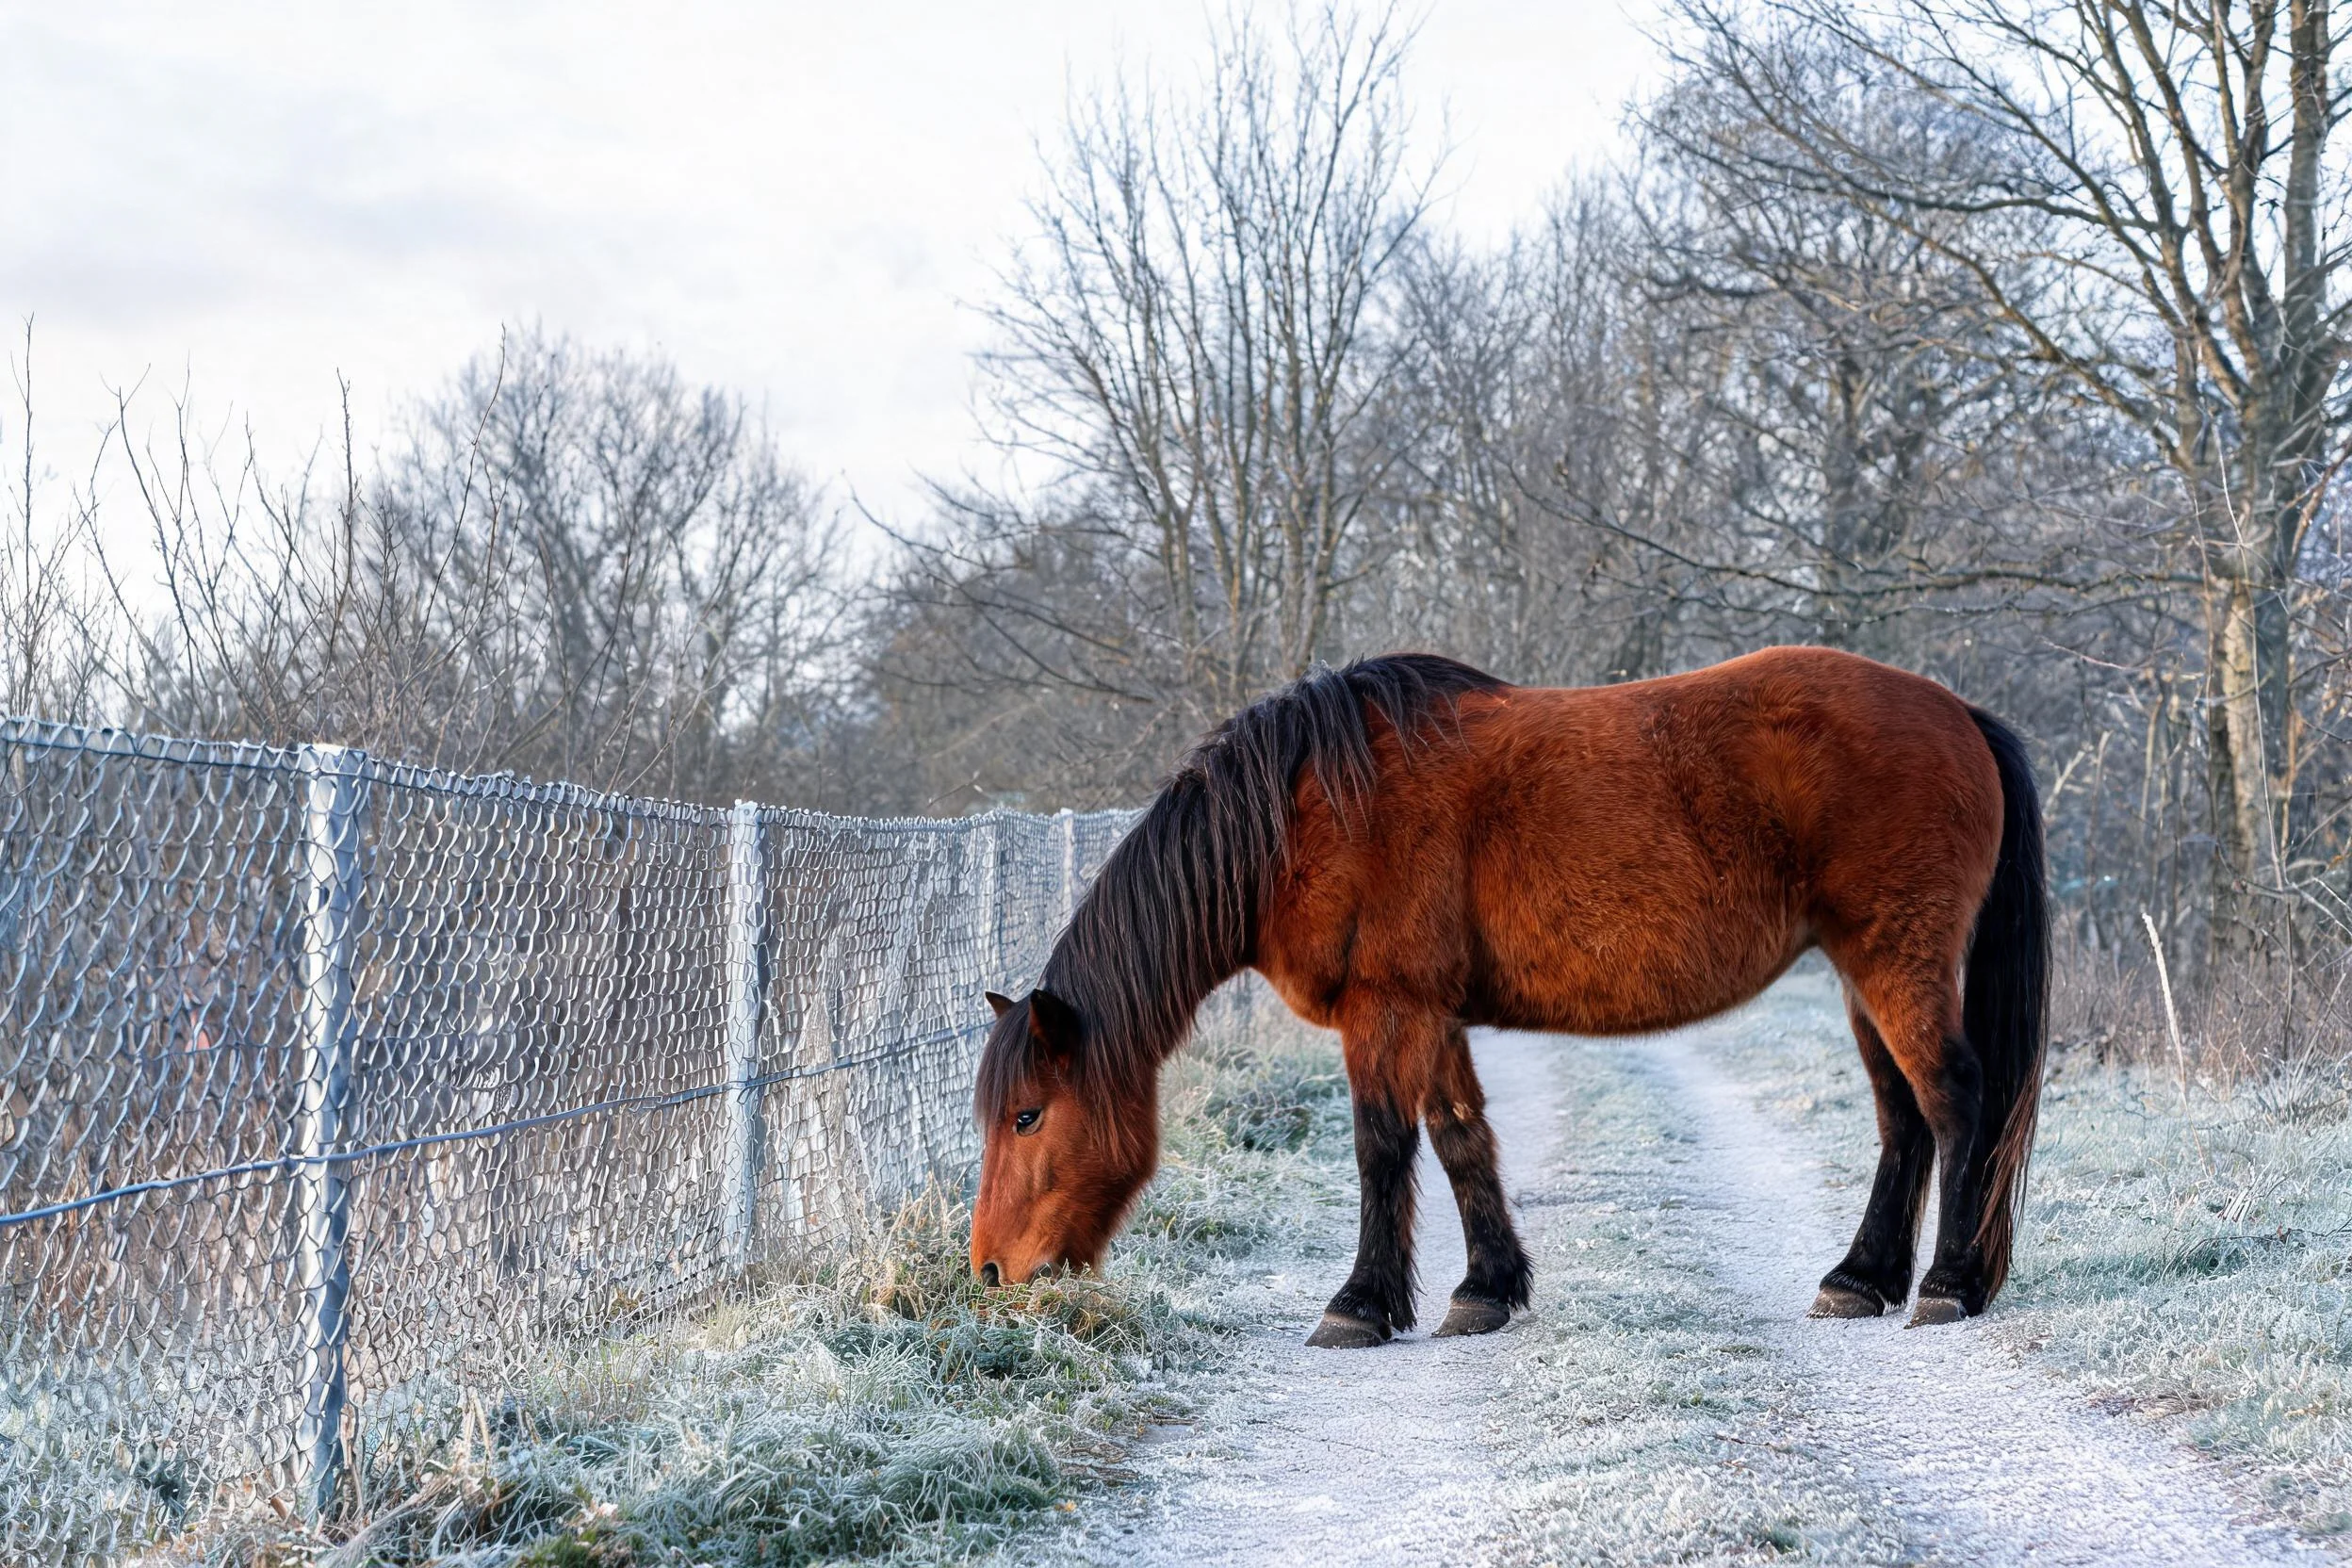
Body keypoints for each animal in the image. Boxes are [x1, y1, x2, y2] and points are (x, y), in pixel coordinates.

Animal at [969, 647, 2048, 1347]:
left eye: (1027, 1115)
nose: (988, 1271)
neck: (1307, 812)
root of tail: (1960, 714)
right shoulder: (1432, 1013)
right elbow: (1459, 1138)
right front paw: (1485, 1290)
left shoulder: (1386, 1008)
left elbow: (1381, 1146)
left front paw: (1359, 1305)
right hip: (1864, 972)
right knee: (1903, 1118)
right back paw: (1860, 1280)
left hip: (1893, 960)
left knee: (1954, 1099)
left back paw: (1947, 1284)